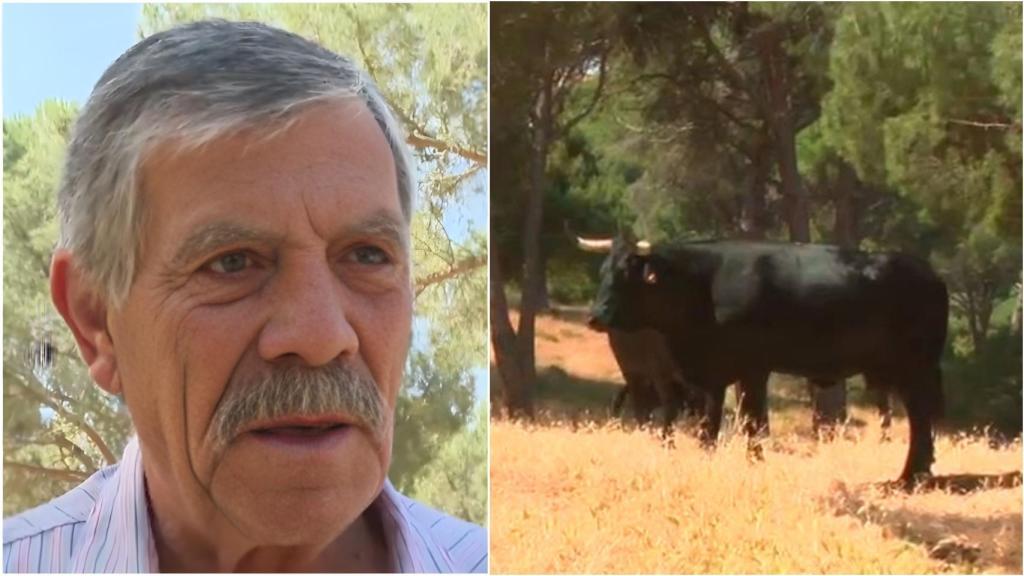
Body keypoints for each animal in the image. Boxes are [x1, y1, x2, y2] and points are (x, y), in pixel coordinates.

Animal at [578, 236, 949, 484]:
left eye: (627, 274)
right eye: (602, 271)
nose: (595, 316)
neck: (703, 285)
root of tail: (930, 274)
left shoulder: (752, 368)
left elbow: (753, 421)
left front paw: (754, 460)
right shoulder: (715, 375)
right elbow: (711, 424)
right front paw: (709, 457)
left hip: (916, 368)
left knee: (921, 418)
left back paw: (911, 476)